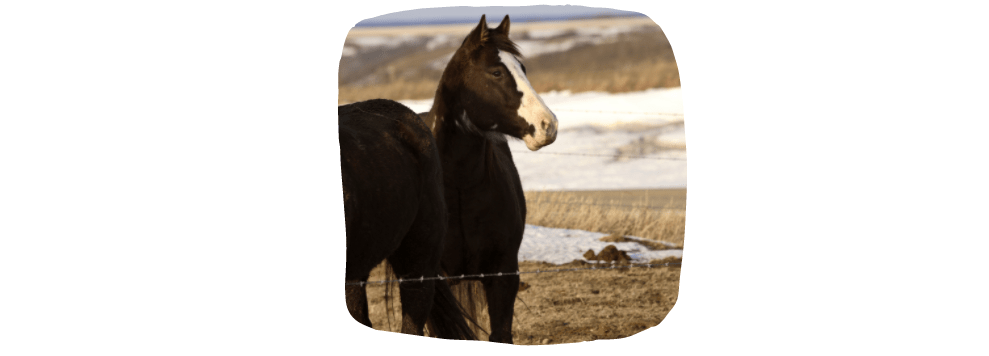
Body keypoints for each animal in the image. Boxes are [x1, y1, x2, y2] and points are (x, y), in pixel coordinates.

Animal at [414, 15, 560, 344]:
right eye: (495, 71)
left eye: (523, 68)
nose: (548, 125)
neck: (458, 187)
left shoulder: (503, 274)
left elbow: (501, 333)